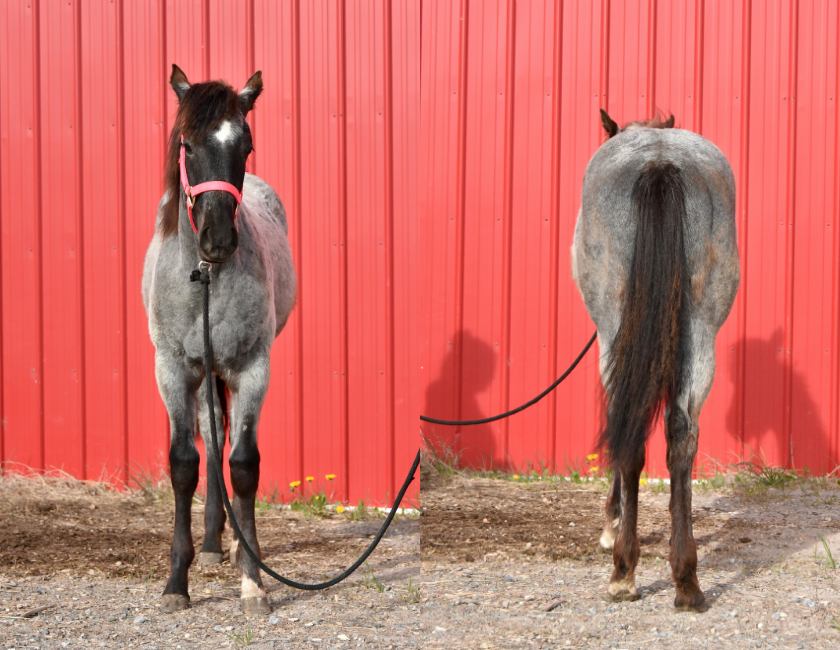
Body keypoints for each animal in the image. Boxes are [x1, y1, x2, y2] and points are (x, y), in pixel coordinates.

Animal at [142, 65, 296, 615]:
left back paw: (229, 544)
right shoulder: (171, 370)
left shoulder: (252, 368)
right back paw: (211, 543)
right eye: (186, 144)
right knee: (209, 440)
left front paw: (253, 578)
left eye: (245, 146)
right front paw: (176, 582)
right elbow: (184, 464)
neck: (205, 277)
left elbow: (244, 465)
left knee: (222, 442)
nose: (218, 240)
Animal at [571, 109, 740, 609]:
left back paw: (623, 570)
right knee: (682, 434)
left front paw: (611, 526)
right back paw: (686, 580)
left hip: (615, 335)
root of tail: (660, 163)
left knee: (628, 432)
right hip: (702, 331)